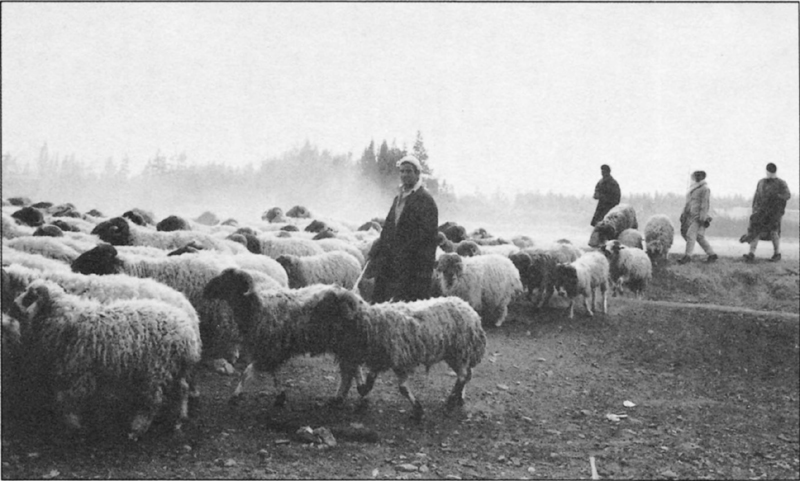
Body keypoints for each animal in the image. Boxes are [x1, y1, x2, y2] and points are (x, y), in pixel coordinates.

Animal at [10, 278, 202, 438]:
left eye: (30, 296)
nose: (12, 306)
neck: (64, 317)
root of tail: (187, 331)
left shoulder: (79, 372)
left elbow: (65, 399)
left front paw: (73, 424)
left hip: (156, 370)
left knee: (153, 401)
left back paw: (138, 427)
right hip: (174, 368)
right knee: (182, 389)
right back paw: (179, 418)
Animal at [203, 266, 338, 404]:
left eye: (229, 280)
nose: (206, 290)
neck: (257, 308)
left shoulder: (270, 349)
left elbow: (254, 371)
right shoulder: (269, 350)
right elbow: (265, 372)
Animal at [306, 286, 484, 418]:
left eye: (330, 306)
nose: (309, 318)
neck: (369, 322)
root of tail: (470, 309)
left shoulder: (399, 359)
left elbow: (402, 388)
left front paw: (418, 410)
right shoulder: (380, 359)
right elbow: (369, 382)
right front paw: (362, 390)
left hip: (459, 351)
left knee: (463, 375)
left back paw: (451, 401)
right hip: (454, 354)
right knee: (467, 374)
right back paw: (459, 398)